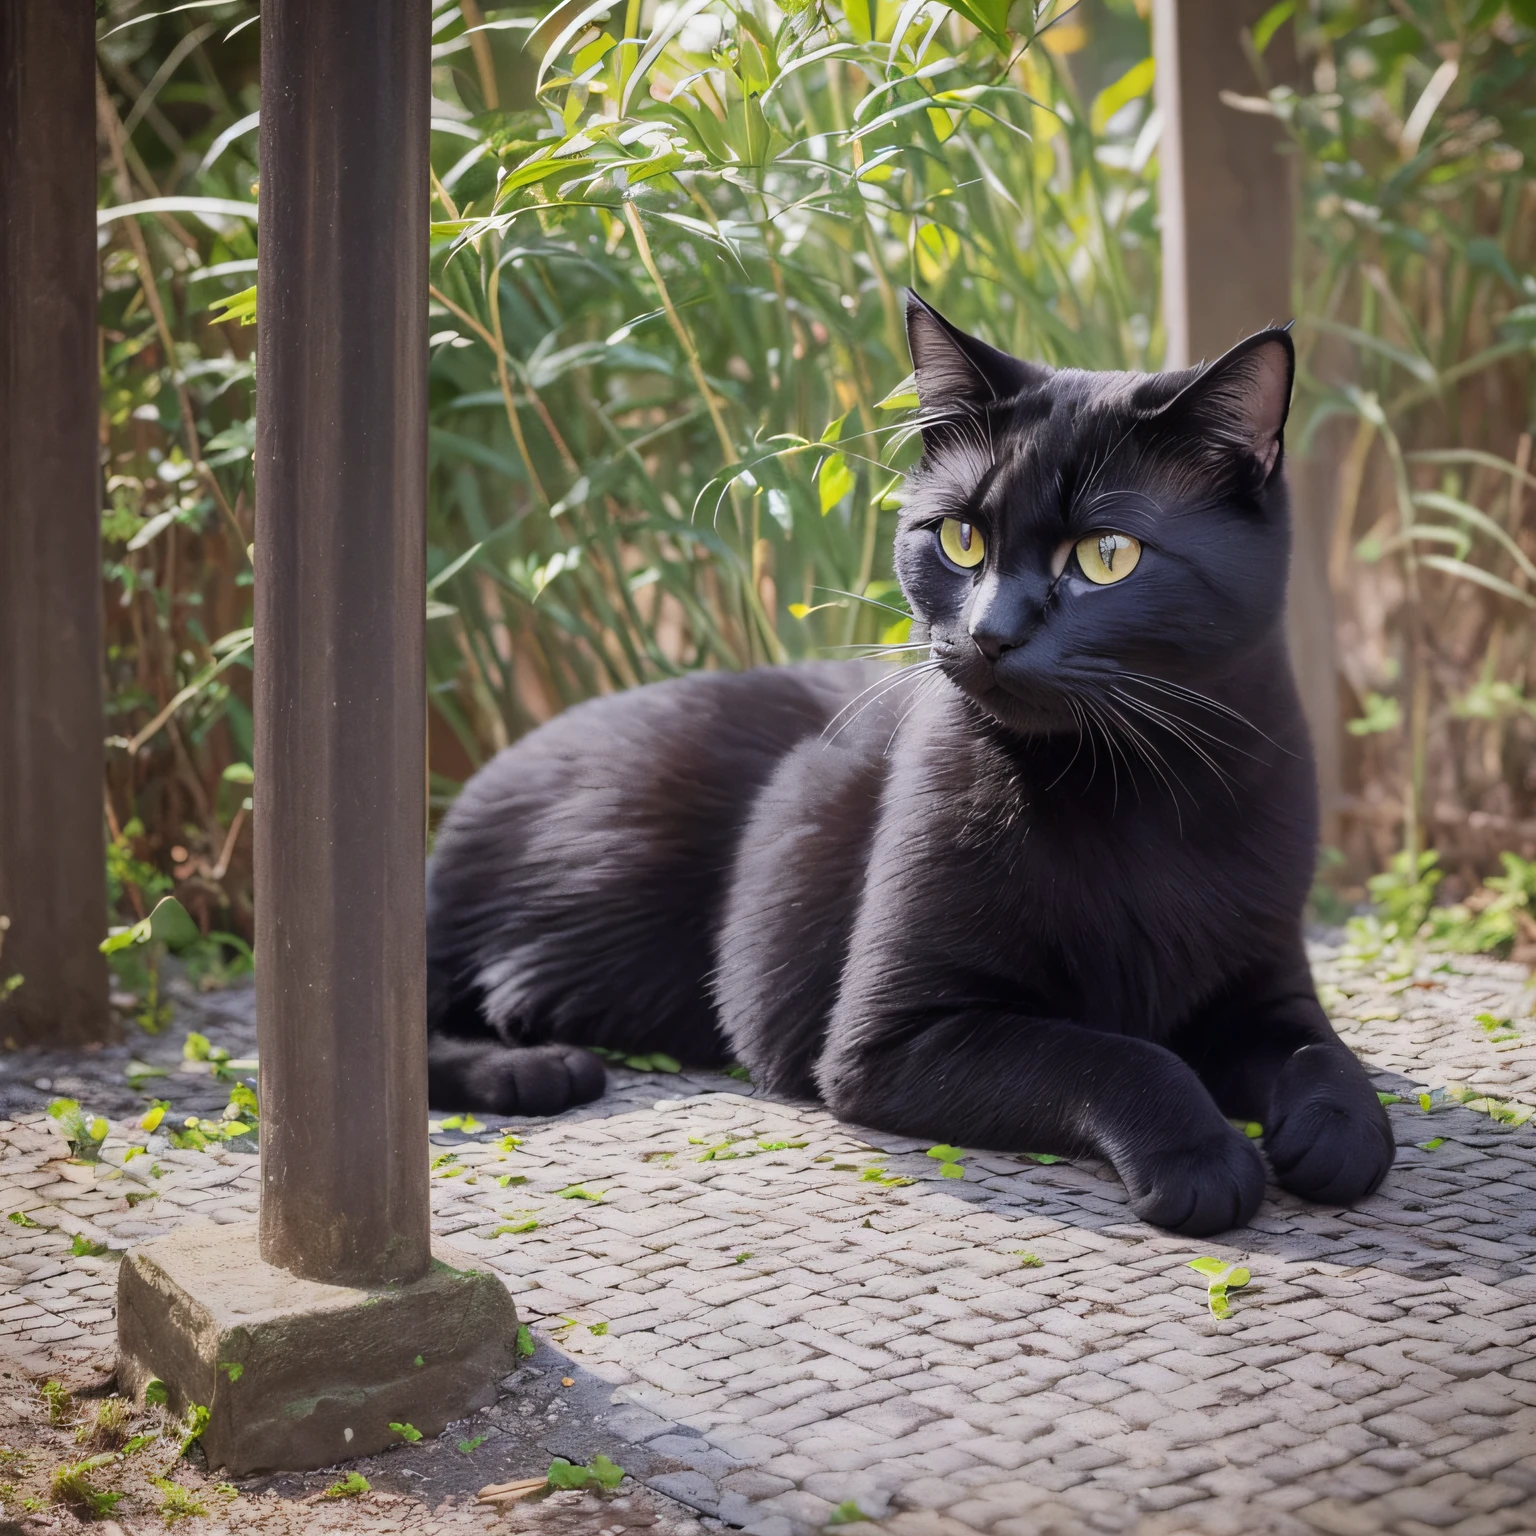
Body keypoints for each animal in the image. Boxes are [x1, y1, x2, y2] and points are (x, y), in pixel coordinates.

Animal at [427, 296, 1400, 1234]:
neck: (1134, 793)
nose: (990, 633)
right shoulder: (891, 1037)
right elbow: (1115, 1053)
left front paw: (1338, 1132)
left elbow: (1325, 1052)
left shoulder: (1266, 988)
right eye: (960, 539)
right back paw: (534, 1070)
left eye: (1107, 555)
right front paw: (1203, 1159)